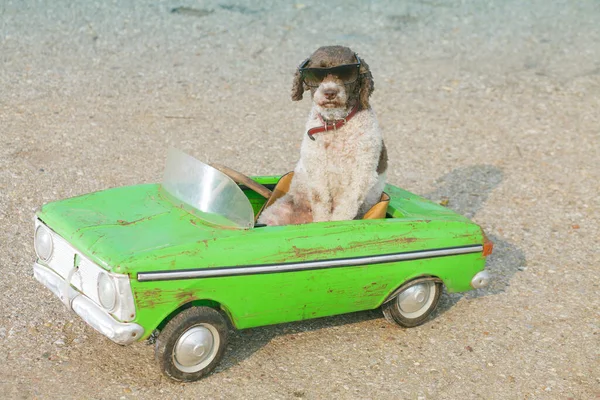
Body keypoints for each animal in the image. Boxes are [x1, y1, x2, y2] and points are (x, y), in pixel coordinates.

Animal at [258, 45, 390, 225]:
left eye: (346, 74)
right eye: (315, 74)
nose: (330, 92)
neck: (334, 124)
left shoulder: (362, 173)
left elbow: (345, 208)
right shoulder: (317, 170)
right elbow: (320, 201)